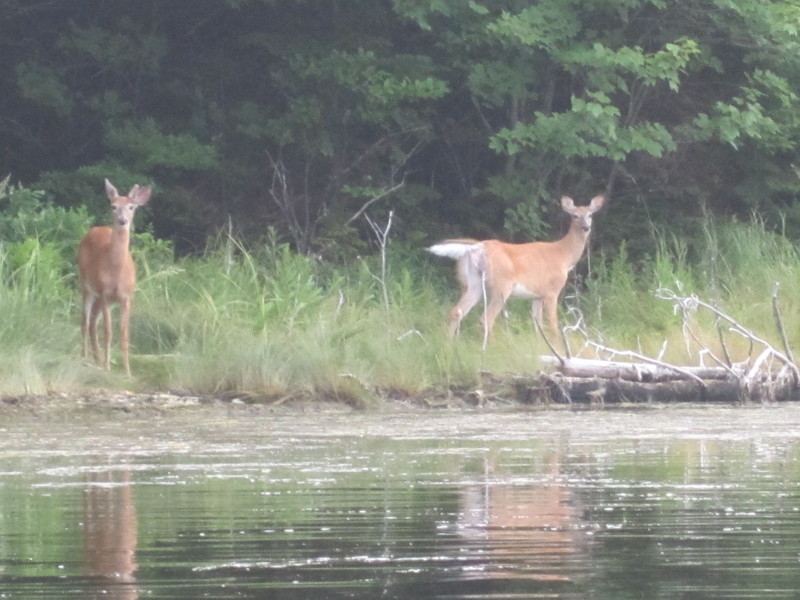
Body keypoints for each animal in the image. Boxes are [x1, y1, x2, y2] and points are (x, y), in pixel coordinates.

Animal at [78, 178, 153, 376]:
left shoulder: (126, 297)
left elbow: (124, 334)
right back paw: (85, 358)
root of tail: (95, 229)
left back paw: (96, 359)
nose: (122, 220)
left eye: (131, 207)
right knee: (85, 321)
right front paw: (107, 367)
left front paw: (127, 372)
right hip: (86, 285)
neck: (117, 272)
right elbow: (109, 332)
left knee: (92, 322)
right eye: (113, 206)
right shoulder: (105, 294)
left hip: (102, 296)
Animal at [428, 196, 604, 344]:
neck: (564, 256)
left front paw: (542, 346)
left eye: (590, 215)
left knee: (456, 311)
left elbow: (538, 324)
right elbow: (553, 324)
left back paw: (448, 343)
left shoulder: (537, 295)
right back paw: (495, 346)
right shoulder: (552, 291)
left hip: (473, 283)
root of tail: (478, 247)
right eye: (575, 215)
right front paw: (557, 346)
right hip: (501, 285)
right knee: (486, 318)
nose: (586, 228)